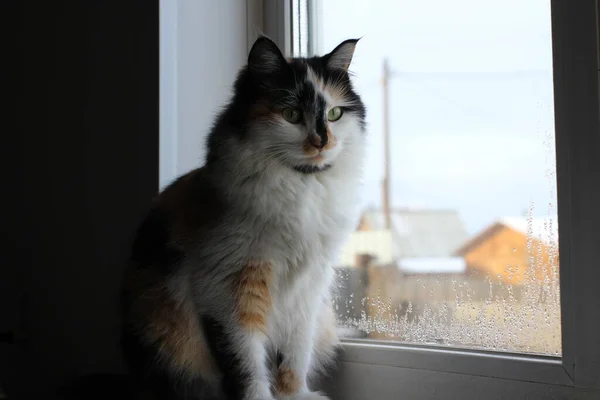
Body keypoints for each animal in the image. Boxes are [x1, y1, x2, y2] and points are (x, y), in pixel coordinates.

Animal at [120, 36, 366, 398]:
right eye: (291, 114)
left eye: (335, 114)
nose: (322, 141)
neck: (301, 186)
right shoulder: (230, 287)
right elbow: (247, 364)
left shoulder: (309, 287)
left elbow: (296, 354)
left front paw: (295, 395)